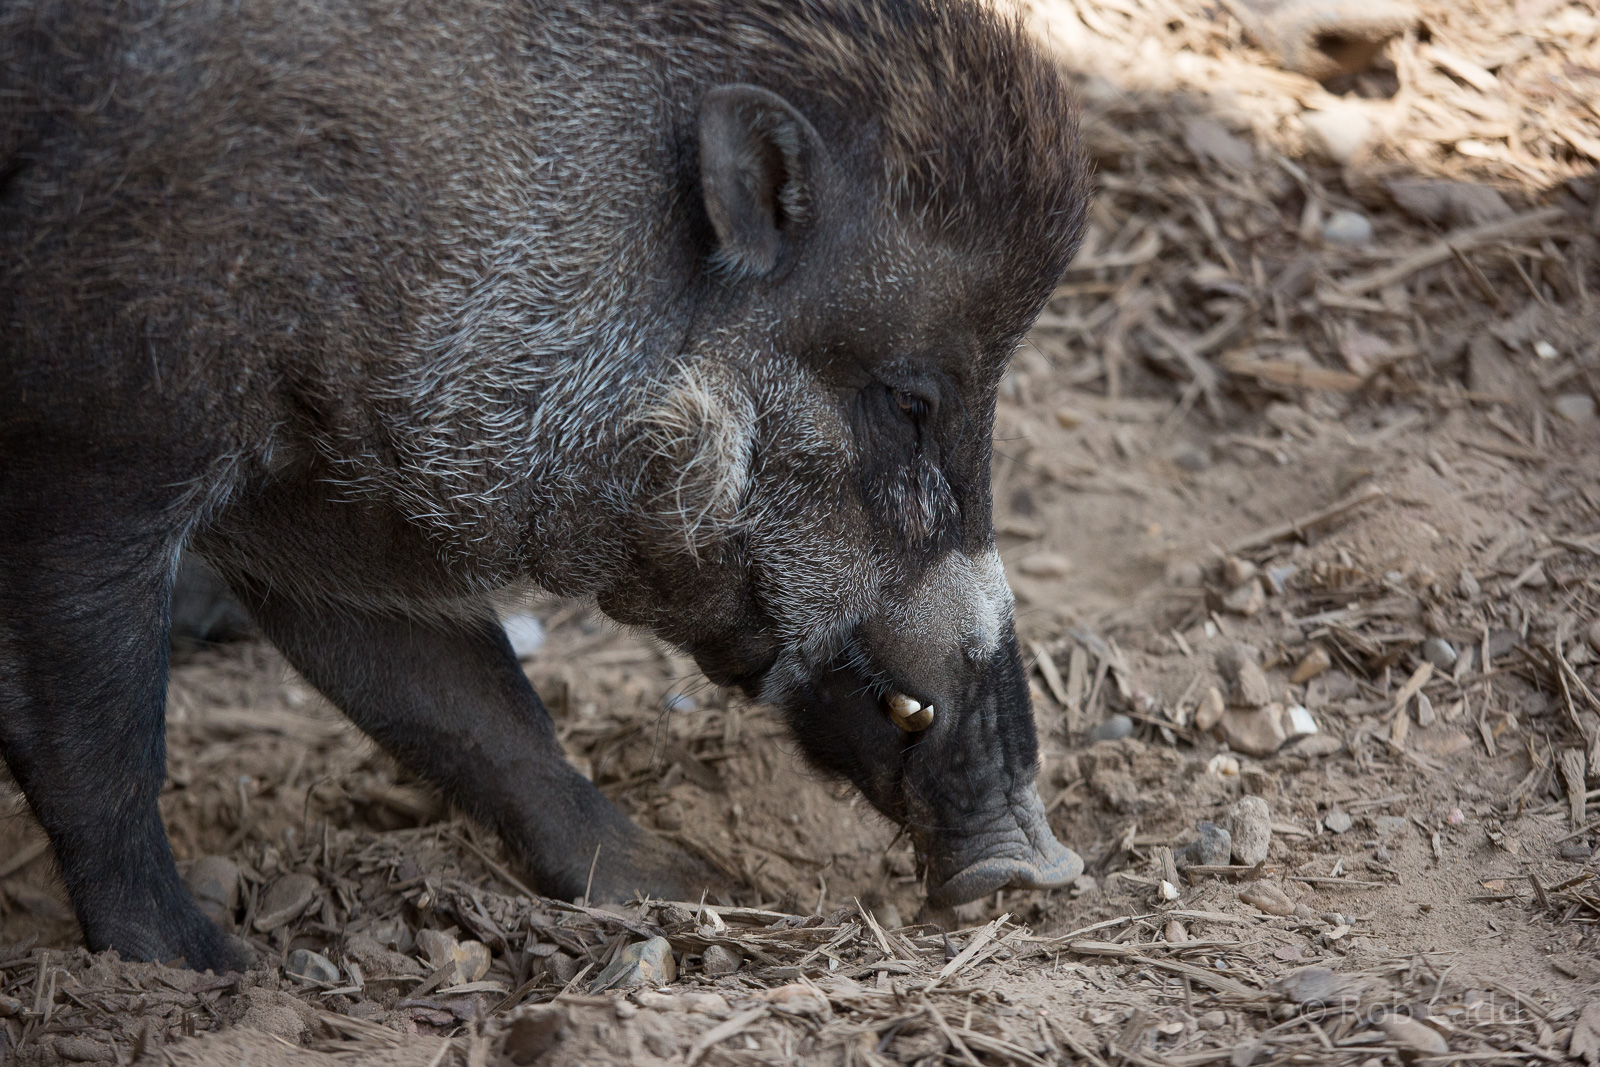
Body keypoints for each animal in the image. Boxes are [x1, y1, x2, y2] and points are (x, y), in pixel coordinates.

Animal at [0, 0, 1089, 971]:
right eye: (910, 399)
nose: (1039, 867)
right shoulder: (90, 447)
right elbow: (98, 748)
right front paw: (209, 969)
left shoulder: (321, 513)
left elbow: (471, 710)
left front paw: (692, 886)